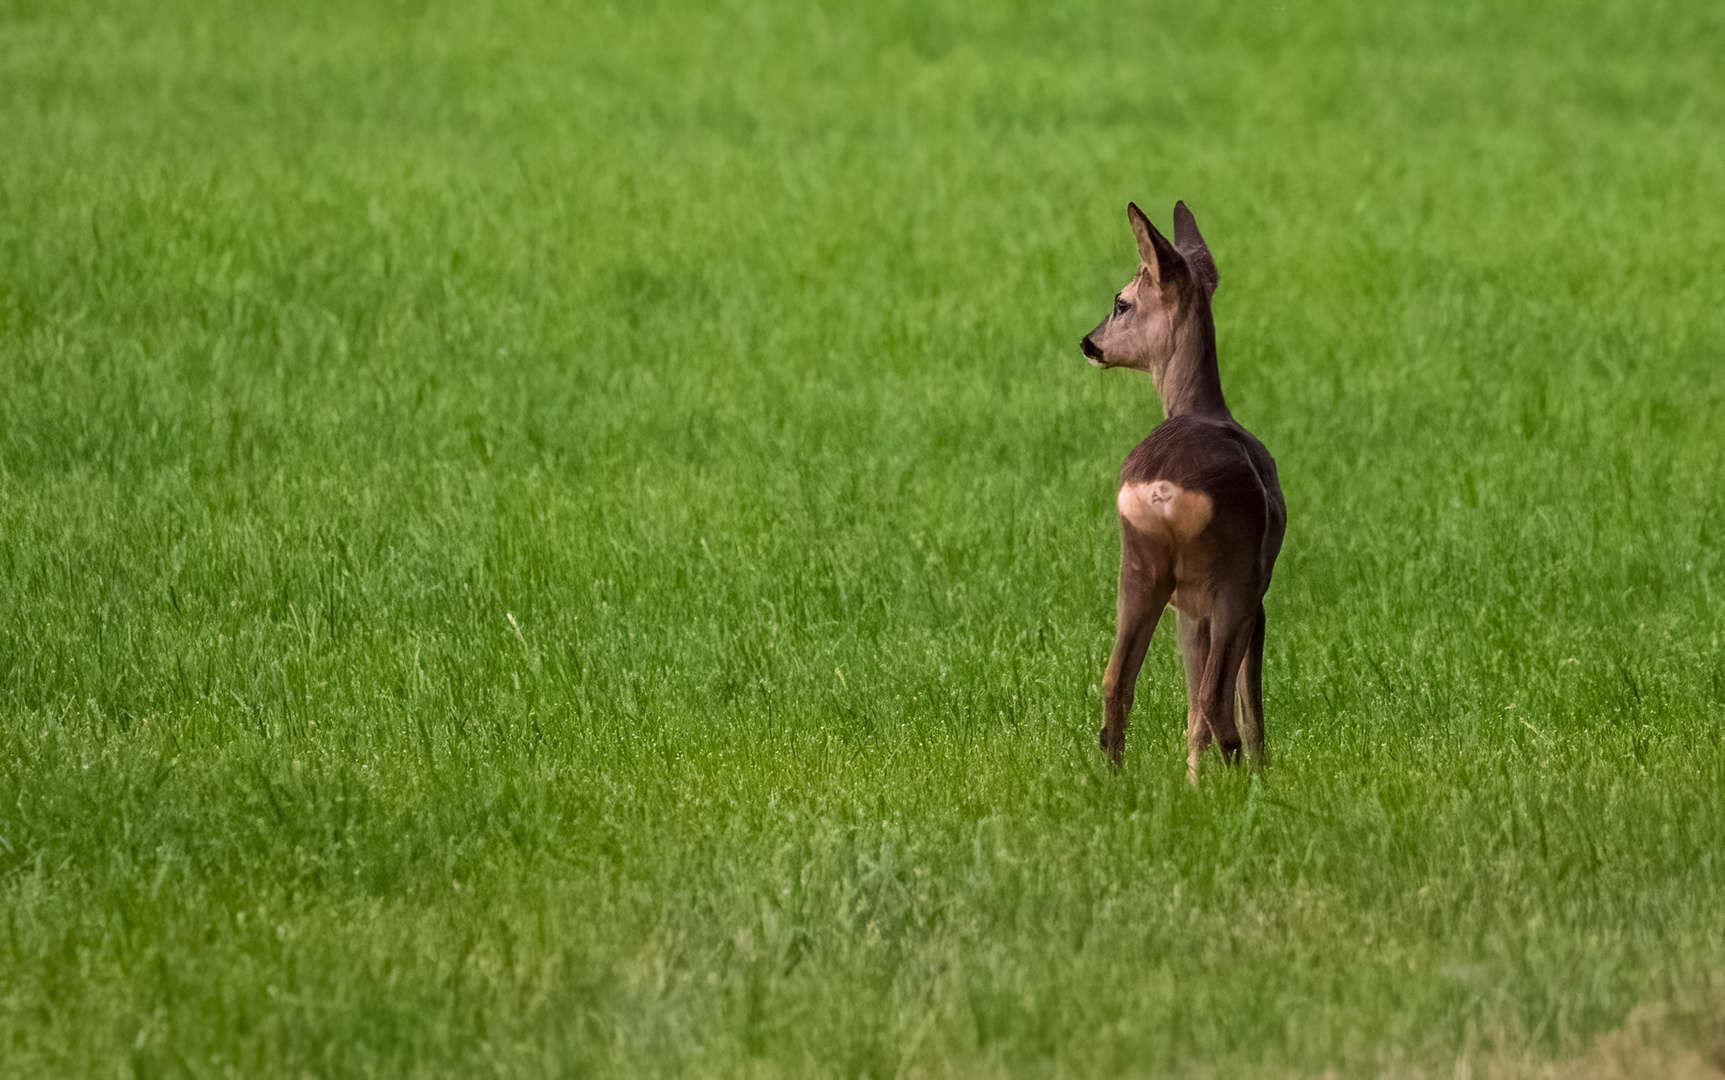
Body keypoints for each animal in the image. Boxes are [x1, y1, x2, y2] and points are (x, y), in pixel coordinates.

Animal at [1076, 201, 1283, 772]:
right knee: (1217, 702)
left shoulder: (1189, 606)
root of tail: (1162, 492)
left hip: (1141, 565)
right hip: (1233, 577)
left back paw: (1116, 778)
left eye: (1120, 302)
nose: (1088, 343)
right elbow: (1247, 707)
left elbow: (1191, 715)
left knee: (1116, 682)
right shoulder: (1252, 590)